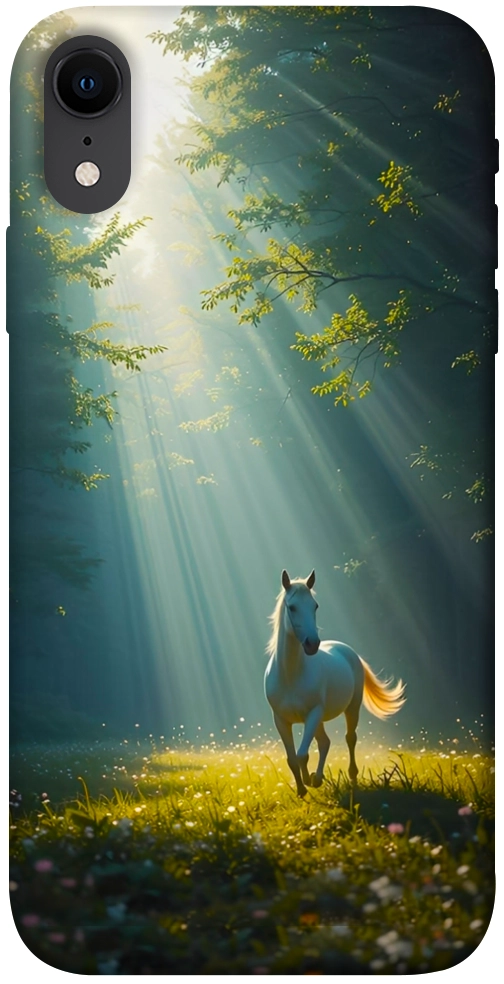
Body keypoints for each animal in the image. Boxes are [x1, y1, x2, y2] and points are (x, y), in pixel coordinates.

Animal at [264, 569, 406, 797]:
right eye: (292, 607)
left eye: (315, 606)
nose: (312, 644)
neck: (290, 675)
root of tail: (347, 650)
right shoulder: (281, 720)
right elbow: (292, 758)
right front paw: (302, 788)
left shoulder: (313, 714)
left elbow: (302, 754)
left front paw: (309, 780)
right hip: (319, 720)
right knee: (324, 742)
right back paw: (317, 778)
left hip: (351, 709)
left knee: (349, 739)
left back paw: (350, 776)